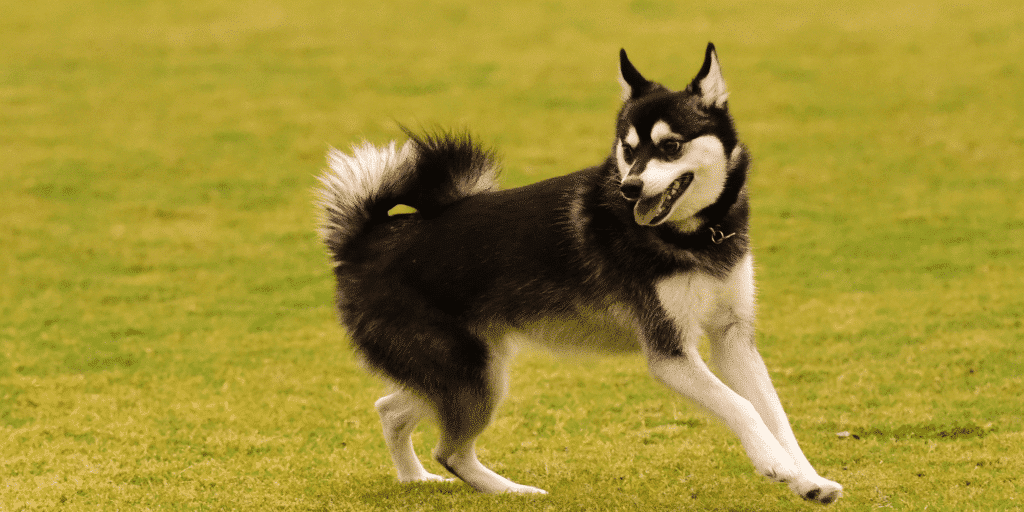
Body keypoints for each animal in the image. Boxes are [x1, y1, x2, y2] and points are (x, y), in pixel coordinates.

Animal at [315, 43, 843, 503]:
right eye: (628, 149)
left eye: (670, 146)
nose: (631, 188)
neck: (695, 237)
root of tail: (364, 239)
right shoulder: (670, 354)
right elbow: (742, 406)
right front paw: (775, 465)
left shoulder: (733, 338)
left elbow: (776, 415)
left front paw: (808, 480)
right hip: (471, 377)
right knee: (448, 449)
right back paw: (514, 492)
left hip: (466, 372)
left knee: (391, 410)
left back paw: (416, 481)